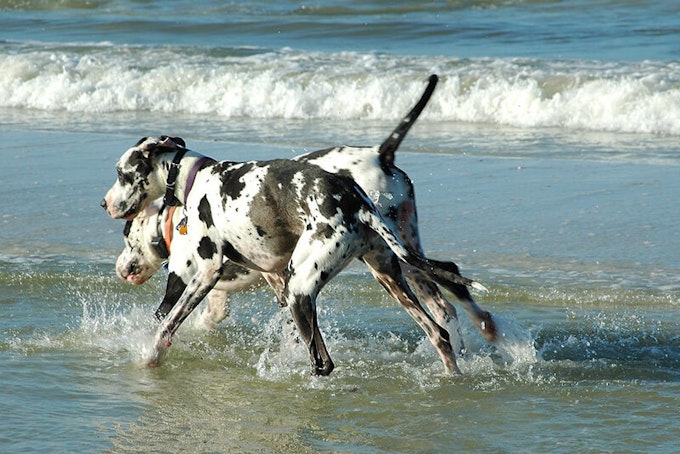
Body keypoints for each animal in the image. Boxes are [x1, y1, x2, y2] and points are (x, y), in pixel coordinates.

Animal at [102, 75, 488, 376]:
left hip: (304, 287)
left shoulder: (199, 274)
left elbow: (168, 322)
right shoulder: (274, 280)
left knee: (323, 362)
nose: (105, 203)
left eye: (121, 173)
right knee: (439, 328)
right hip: (389, 272)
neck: (196, 179)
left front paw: (151, 355)